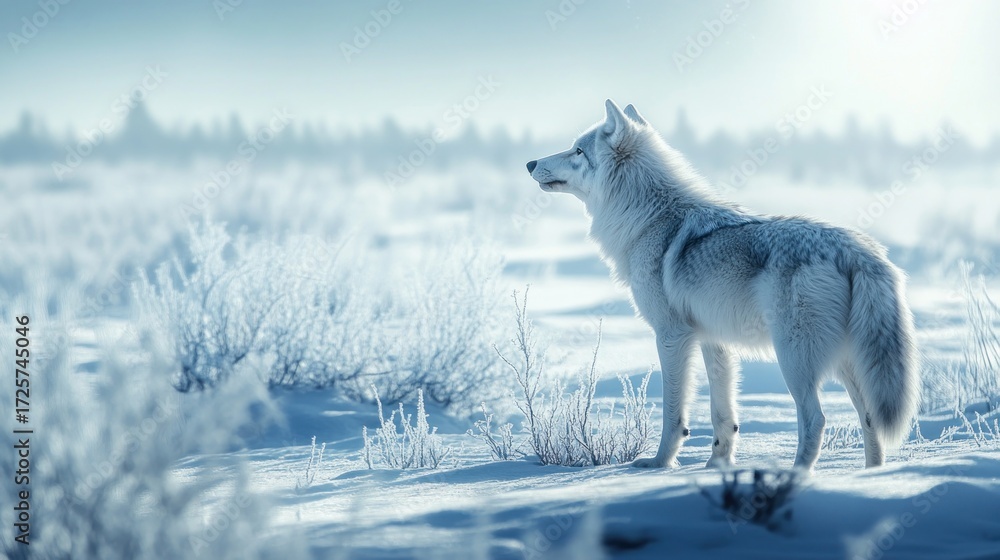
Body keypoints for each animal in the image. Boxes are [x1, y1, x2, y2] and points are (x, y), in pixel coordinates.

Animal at [526, 100, 919, 470]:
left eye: (578, 151)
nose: (530, 163)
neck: (649, 217)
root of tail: (859, 251)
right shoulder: (714, 342)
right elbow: (723, 416)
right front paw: (717, 465)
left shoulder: (671, 336)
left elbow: (673, 414)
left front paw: (659, 464)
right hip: (848, 364)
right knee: (869, 419)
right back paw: (870, 476)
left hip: (795, 359)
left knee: (816, 420)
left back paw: (796, 475)